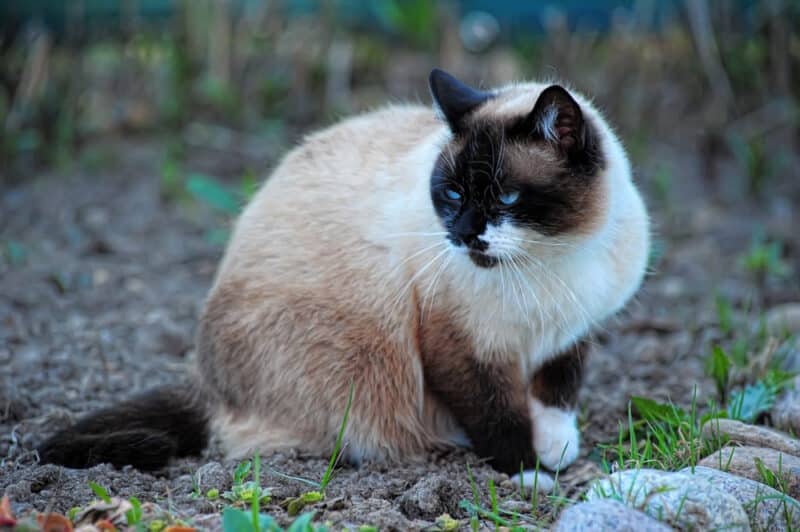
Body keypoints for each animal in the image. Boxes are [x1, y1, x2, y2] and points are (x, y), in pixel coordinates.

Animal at [37, 67, 648, 486]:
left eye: (508, 198)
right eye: (452, 196)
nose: (462, 235)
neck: (554, 256)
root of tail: (206, 380)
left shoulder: (575, 330)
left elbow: (556, 394)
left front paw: (558, 449)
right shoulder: (463, 347)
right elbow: (499, 417)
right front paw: (529, 474)